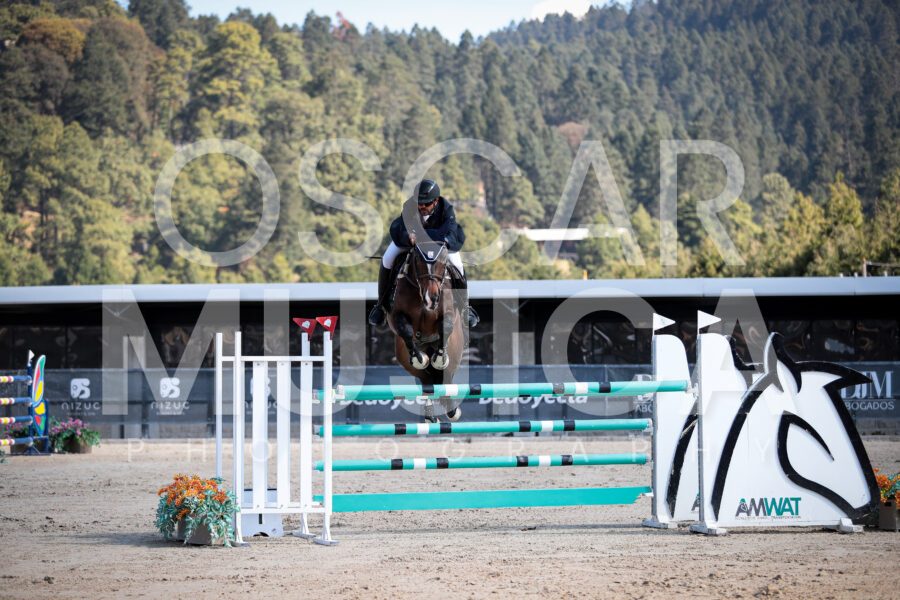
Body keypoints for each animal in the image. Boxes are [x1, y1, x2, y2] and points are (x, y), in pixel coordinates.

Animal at [386, 240, 465, 422]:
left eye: (443, 264)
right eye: (419, 262)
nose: (432, 298)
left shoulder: (448, 313)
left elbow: (446, 326)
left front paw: (439, 358)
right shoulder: (396, 315)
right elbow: (406, 331)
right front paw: (419, 358)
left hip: (455, 354)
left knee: (446, 380)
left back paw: (452, 411)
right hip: (405, 359)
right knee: (427, 383)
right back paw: (430, 416)